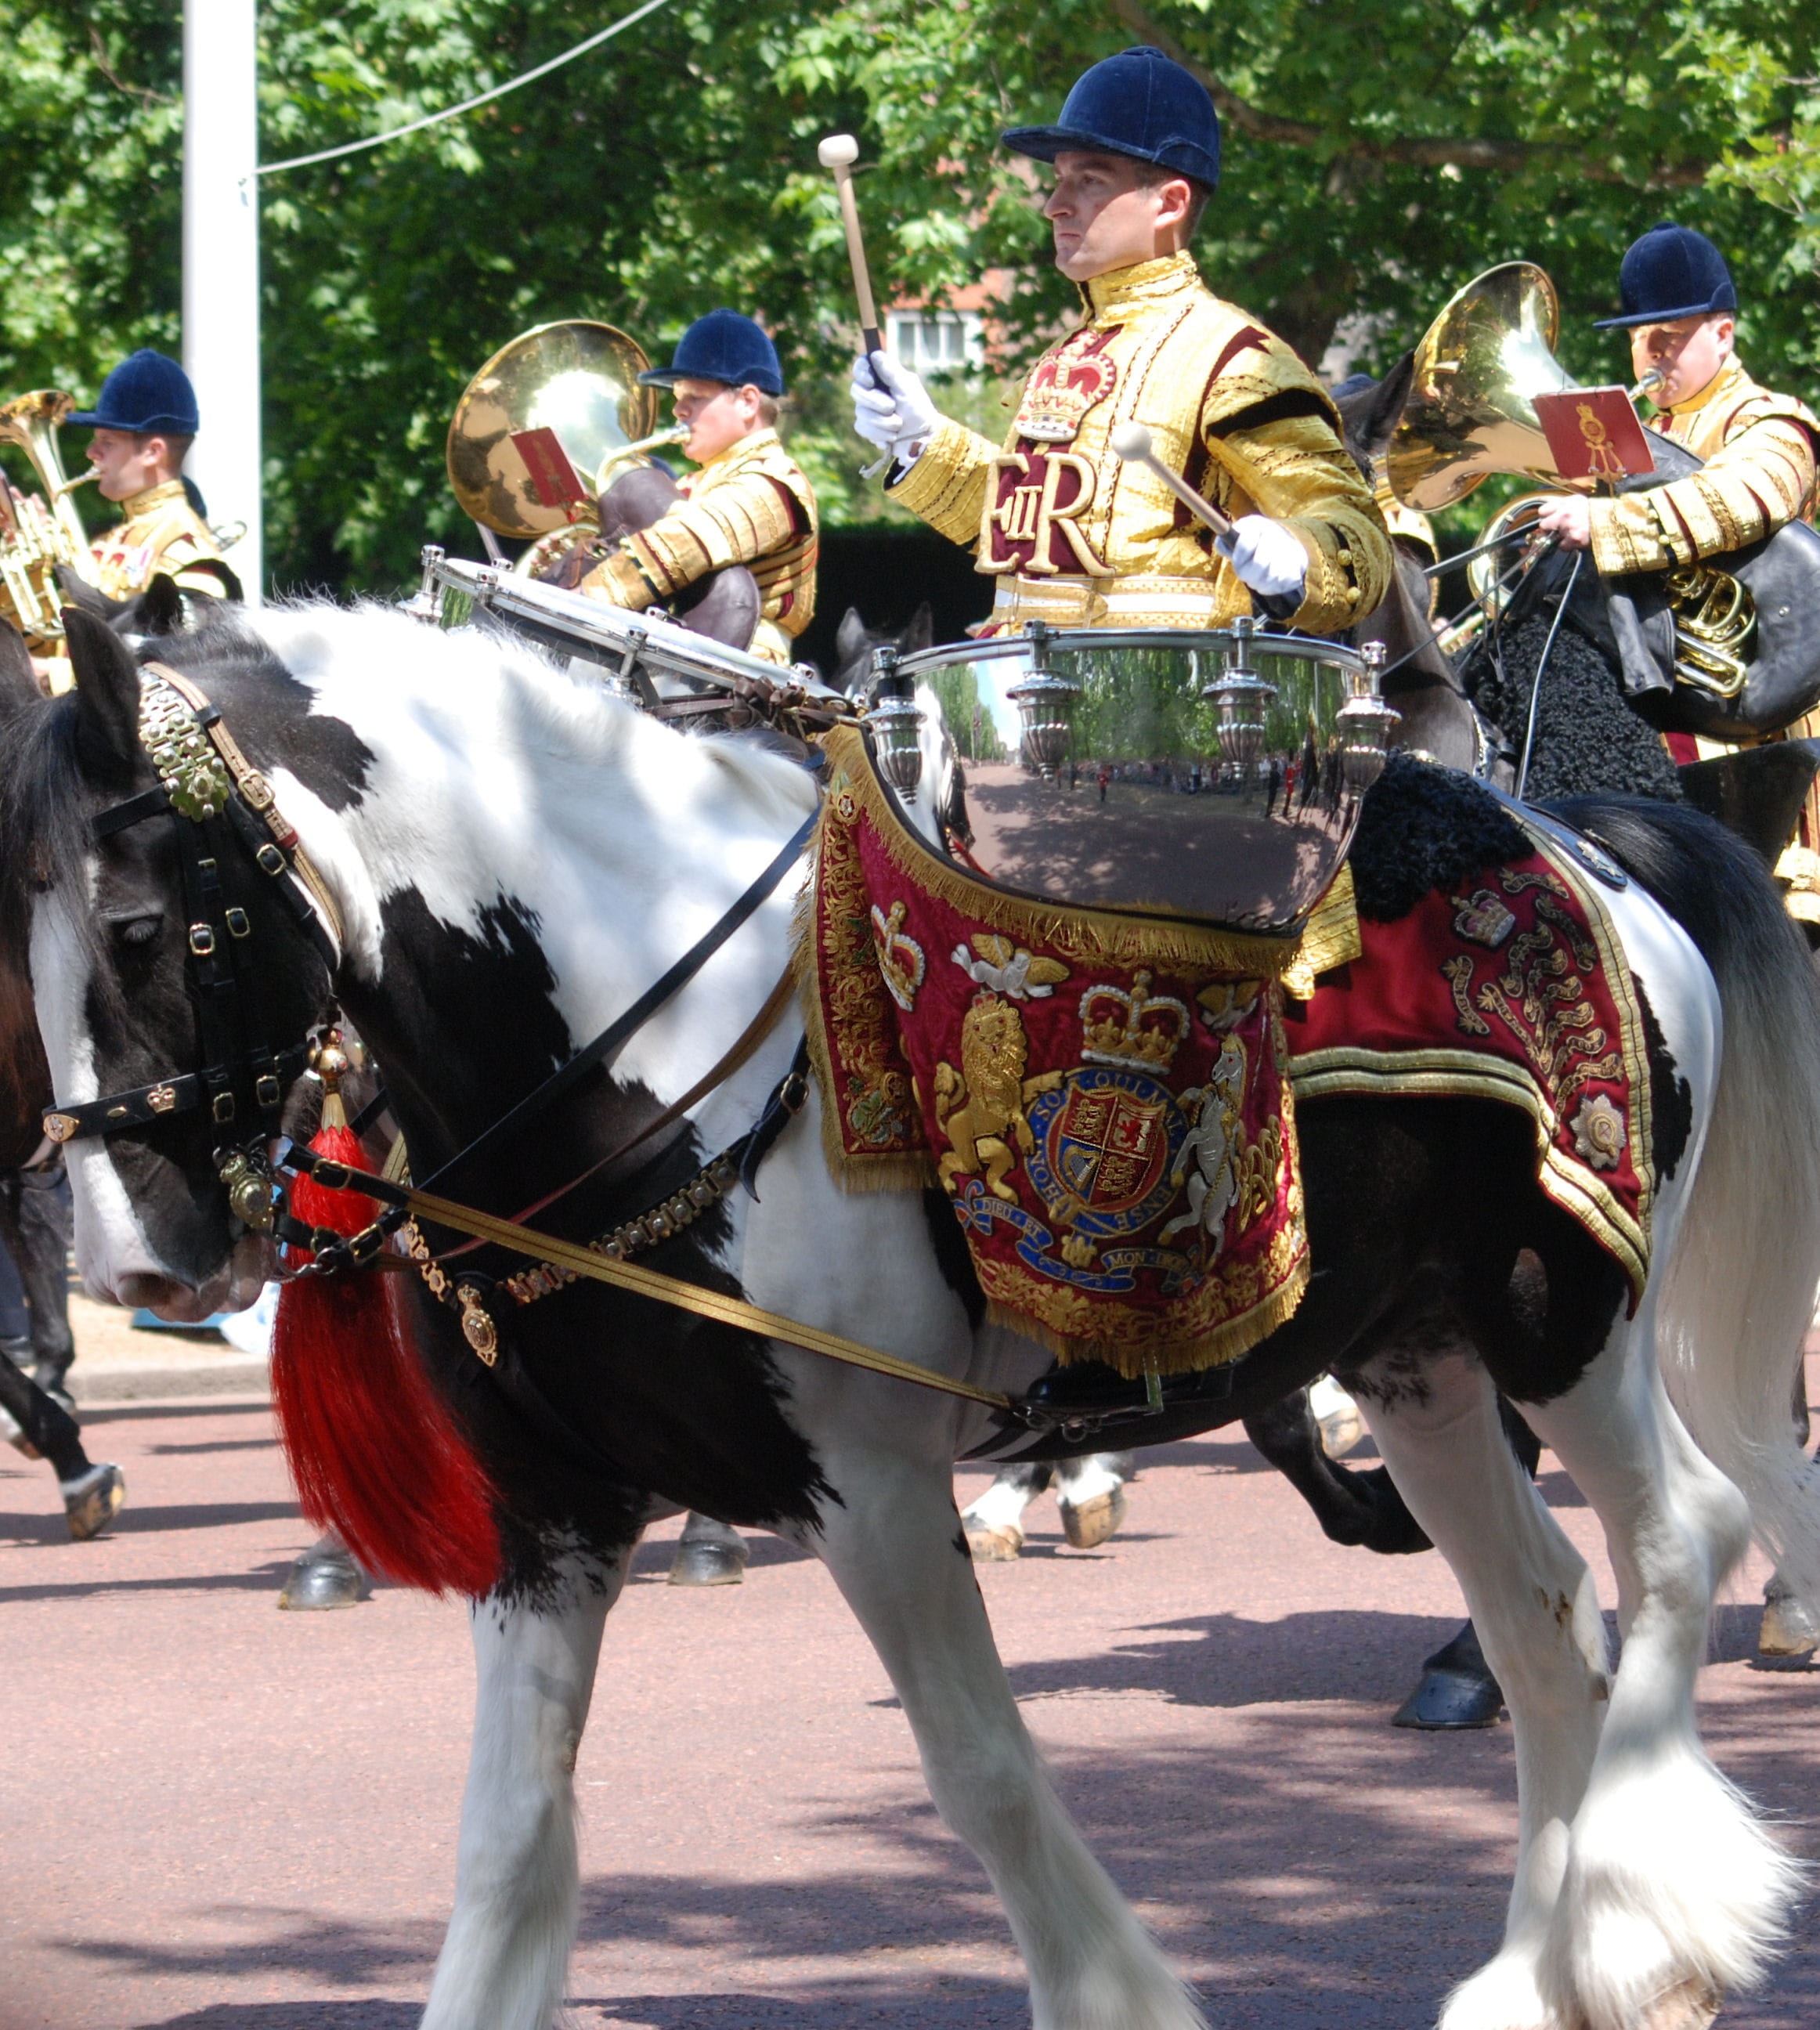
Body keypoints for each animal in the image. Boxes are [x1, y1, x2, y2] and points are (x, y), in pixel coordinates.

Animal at [7, 605, 1810, 2030]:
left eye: (141, 926)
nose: (135, 1264)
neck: (632, 1059)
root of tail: (1577, 838)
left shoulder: (868, 1486)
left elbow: (983, 1773)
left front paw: (1115, 1999)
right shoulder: (551, 1519)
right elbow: (509, 1839)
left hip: (1561, 1312)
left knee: (1679, 1540)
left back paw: (1646, 1932)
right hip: (1415, 1356)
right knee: (1539, 1621)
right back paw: (1533, 1973)